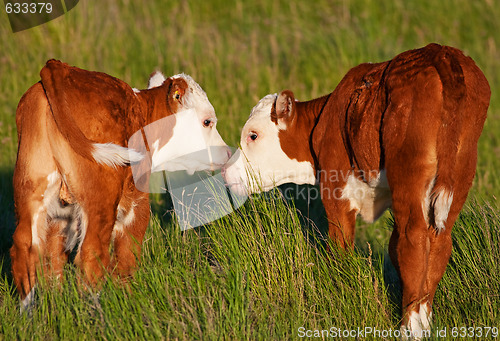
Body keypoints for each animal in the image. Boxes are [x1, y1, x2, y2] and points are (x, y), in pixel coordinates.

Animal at [11, 59, 230, 310]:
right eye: (207, 121)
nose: (227, 152)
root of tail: (58, 67)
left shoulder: (60, 219)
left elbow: (54, 257)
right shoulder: (137, 202)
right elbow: (127, 252)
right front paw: (128, 295)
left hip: (31, 190)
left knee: (25, 248)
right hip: (101, 199)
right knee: (91, 252)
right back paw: (98, 310)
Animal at [225, 43, 490, 338]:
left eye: (253, 135)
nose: (226, 172)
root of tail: (441, 53)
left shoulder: (335, 190)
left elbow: (340, 246)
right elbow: (392, 248)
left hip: (410, 169)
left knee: (413, 239)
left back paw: (409, 329)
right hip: (460, 170)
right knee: (438, 241)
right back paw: (425, 322)